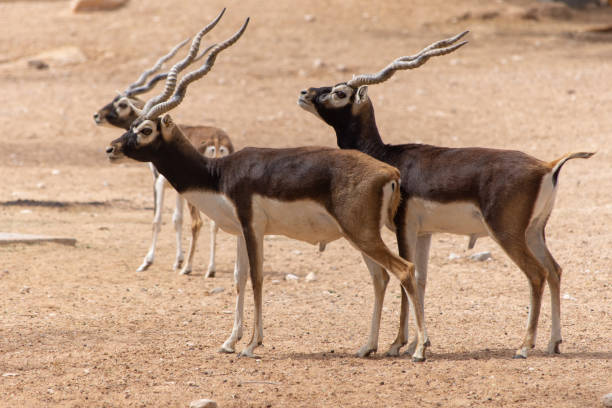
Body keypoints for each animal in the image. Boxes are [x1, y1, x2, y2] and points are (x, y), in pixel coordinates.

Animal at [95, 10, 234, 278]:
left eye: (122, 103)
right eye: (132, 124)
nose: (97, 116)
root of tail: (217, 139)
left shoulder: (160, 182)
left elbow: (158, 219)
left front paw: (148, 262)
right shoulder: (177, 187)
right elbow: (176, 219)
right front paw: (177, 260)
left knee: (199, 221)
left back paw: (190, 268)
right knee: (213, 223)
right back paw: (208, 269)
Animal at [298, 31, 596, 356]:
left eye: (340, 93)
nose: (305, 93)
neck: (388, 156)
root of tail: (547, 165)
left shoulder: (404, 226)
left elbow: (405, 276)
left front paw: (397, 344)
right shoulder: (424, 232)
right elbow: (421, 279)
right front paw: (416, 343)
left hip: (507, 232)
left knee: (536, 274)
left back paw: (524, 346)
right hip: (534, 231)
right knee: (554, 270)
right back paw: (553, 342)